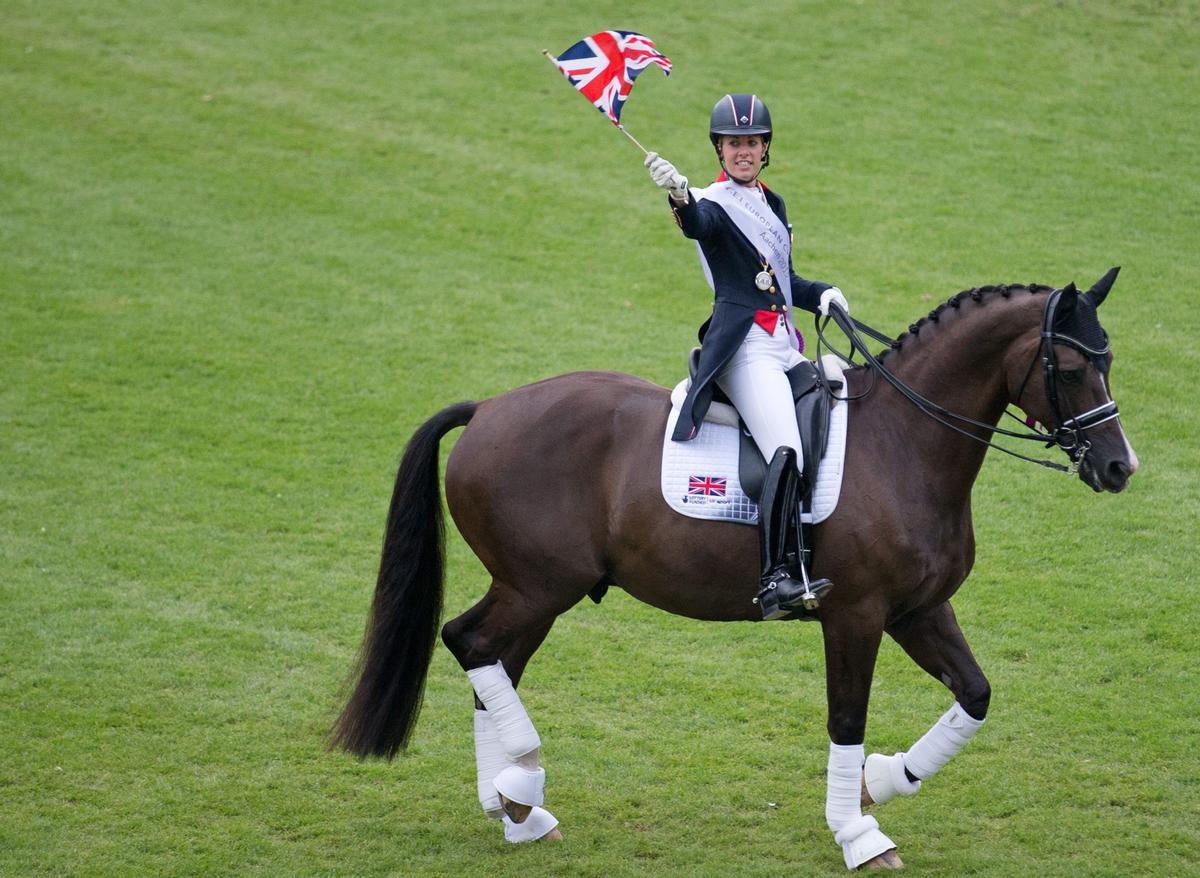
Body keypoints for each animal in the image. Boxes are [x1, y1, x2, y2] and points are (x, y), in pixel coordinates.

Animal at [333, 275, 1137, 873]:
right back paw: (519, 785)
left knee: (492, 660)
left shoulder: (918, 611)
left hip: (535, 593)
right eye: (1070, 369)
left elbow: (975, 695)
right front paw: (859, 835)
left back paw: (515, 809)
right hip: (538, 587)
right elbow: (846, 718)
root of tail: (489, 409)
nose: (1120, 468)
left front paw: (884, 781)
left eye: (1109, 361)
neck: (906, 444)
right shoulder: (857, 615)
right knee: (469, 643)